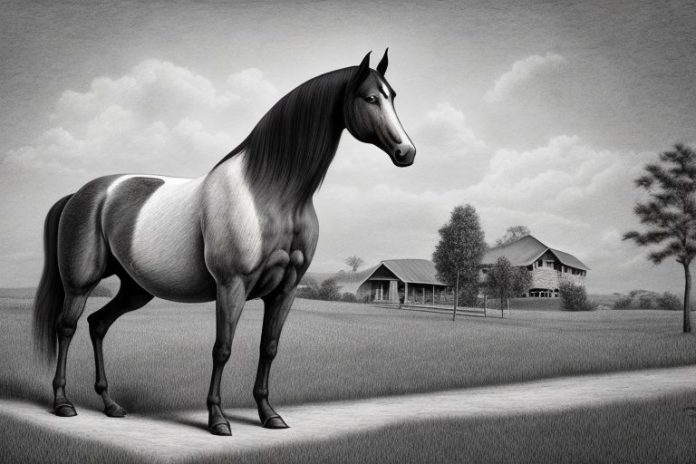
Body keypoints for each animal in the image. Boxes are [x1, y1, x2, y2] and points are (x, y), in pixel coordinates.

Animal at [32, 49, 416, 436]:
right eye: (370, 98)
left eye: (393, 96)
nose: (406, 152)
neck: (270, 193)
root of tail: (84, 193)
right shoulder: (232, 285)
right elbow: (223, 348)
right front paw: (218, 419)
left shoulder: (286, 289)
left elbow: (269, 348)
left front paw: (269, 415)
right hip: (80, 284)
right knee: (66, 328)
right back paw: (63, 403)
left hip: (135, 289)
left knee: (98, 325)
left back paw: (111, 405)